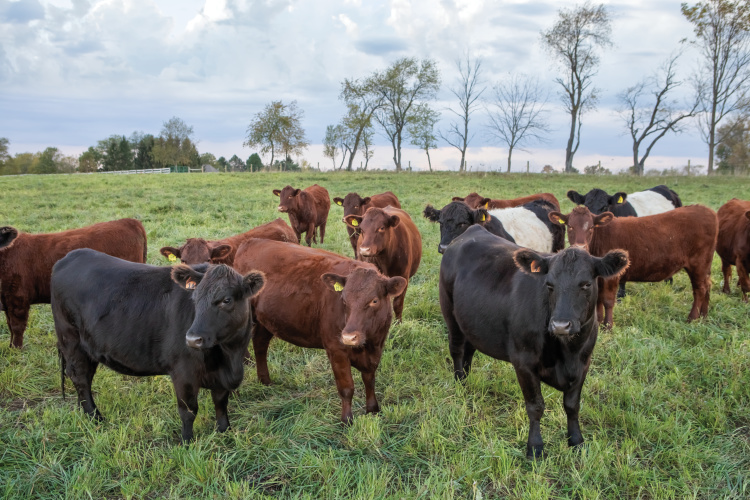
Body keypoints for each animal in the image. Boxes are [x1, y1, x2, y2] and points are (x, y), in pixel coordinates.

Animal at [51, 249, 265, 443]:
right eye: (194, 299)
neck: (229, 356)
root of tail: (70, 256)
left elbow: (220, 403)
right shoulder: (183, 372)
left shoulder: (221, 377)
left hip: (89, 346)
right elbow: (188, 410)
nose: (192, 339)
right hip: (70, 339)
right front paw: (186, 442)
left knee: (85, 377)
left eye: (226, 300)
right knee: (80, 377)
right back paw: (95, 417)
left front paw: (225, 431)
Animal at [233, 238, 406, 424]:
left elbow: (369, 379)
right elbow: (346, 387)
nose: (349, 337)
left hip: (266, 320)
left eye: (374, 301)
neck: (367, 345)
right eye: (343, 300)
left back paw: (265, 381)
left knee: (260, 344)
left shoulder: (376, 347)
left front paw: (373, 410)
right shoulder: (336, 349)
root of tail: (251, 241)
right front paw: (347, 420)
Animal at [439, 224, 629, 459]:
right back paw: (460, 385)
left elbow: (572, 405)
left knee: (468, 351)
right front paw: (535, 448)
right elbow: (536, 406)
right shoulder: (523, 362)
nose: (560, 325)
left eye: (585, 284)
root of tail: (472, 230)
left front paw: (576, 441)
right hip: (450, 312)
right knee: (457, 349)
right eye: (549, 285)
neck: (569, 352)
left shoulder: (584, 363)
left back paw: (466, 381)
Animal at [550, 205, 717, 326]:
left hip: (698, 264)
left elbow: (608, 300)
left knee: (700, 289)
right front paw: (598, 322)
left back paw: (692, 318)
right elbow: (597, 300)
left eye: (591, 227)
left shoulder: (612, 276)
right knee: (708, 285)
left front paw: (608, 326)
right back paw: (704, 316)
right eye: (570, 226)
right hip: (705, 266)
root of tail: (706, 209)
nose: (580, 246)